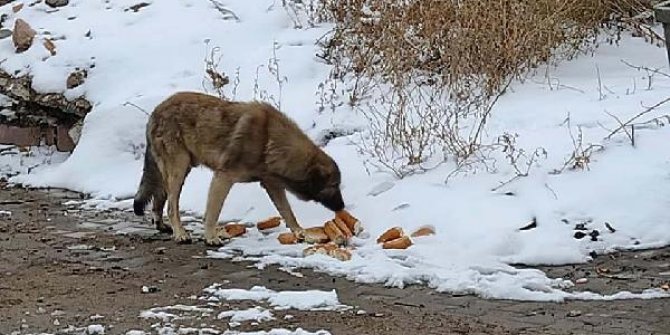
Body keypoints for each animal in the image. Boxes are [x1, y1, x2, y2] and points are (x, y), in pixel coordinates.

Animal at [135, 92, 350, 247]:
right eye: (334, 186)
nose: (342, 207)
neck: (270, 141)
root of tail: (155, 111)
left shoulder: (273, 186)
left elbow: (288, 213)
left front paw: (301, 233)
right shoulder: (223, 178)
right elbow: (212, 213)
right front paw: (210, 237)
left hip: (177, 171)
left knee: (159, 200)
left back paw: (163, 226)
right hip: (178, 170)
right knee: (172, 206)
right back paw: (180, 234)